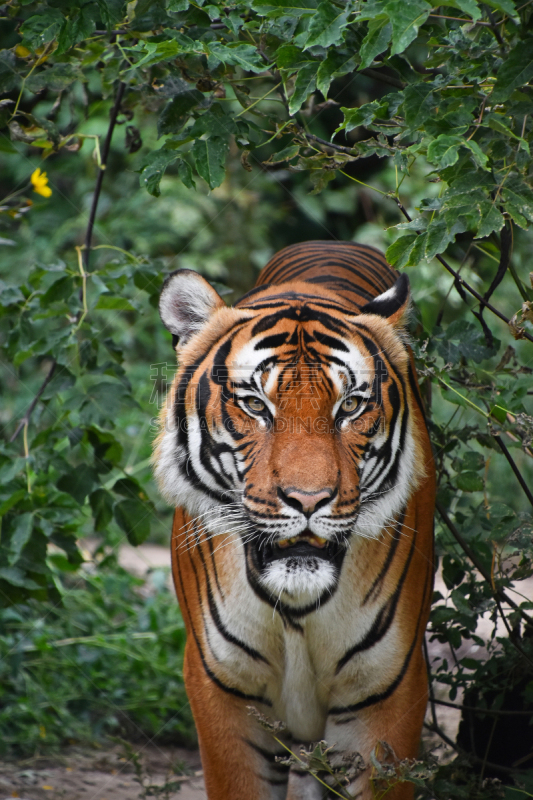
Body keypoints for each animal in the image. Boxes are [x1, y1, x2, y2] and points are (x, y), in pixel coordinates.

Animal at [152, 239, 434, 800]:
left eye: (351, 406)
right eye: (255, 404)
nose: (308, 500)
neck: (298, 611)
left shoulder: (387, 691)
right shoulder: (223, 689)